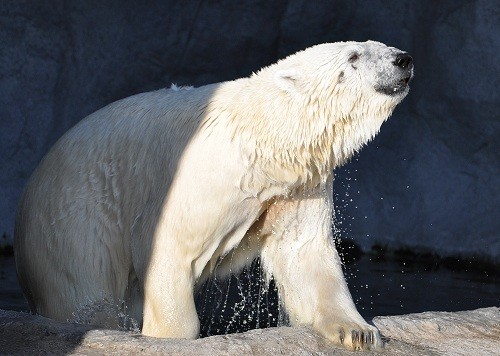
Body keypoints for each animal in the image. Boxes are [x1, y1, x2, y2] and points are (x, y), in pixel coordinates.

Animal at [15, 41, 414, 350]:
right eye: (353, 56)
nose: (403, 59)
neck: (263, 136)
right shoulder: (205, 173)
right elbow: (169, 246)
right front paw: (170, 337)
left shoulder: (300, 185)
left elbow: (303, 250)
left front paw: (358, 331)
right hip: (73, 218)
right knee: (83, 286)